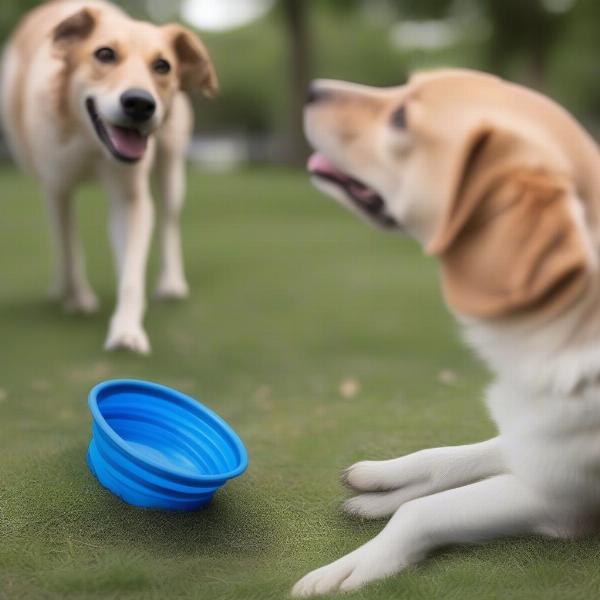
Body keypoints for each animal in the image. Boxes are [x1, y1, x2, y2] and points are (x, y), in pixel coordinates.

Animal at [0, 1, 216, 352]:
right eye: (104, 54)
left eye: (162, 65)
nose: (140, 103)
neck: (91, 143)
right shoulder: (57, 188)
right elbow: (69, 246)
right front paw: (78, 299)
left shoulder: (130, 200)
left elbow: (131, 273)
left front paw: (127, 330)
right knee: (61, 239)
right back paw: (62, 289)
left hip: (171, 167)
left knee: (169, 221)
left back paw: (171, 283)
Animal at [292, 68, 600, 592]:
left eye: (401, 117)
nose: (311, 89)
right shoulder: (532, 441)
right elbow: (448, 458)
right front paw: (380, 483)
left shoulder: (559, 500)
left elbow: (422, 512)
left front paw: (355, 565)